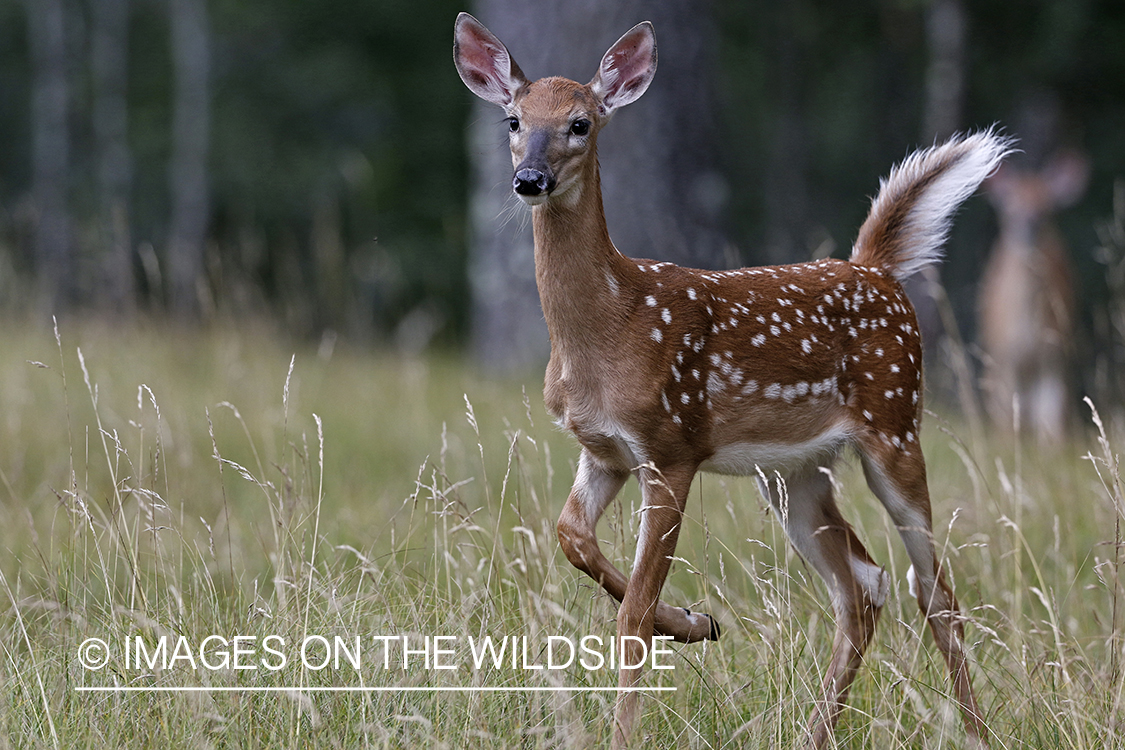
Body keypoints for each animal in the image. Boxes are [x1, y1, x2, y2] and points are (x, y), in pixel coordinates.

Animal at [452, 13, 999, 750]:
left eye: (580, 123)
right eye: (512, 119)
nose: (529, 178)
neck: (608, 326)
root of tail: (876, 268)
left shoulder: (673, 444)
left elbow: (632, 612)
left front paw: (633, 716)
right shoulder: (604, 451)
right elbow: (571, 538)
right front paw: (695, 622)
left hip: (895, 424)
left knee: (934, 592)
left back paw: (976, 731)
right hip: (795, 471)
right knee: (863, 584)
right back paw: (813, 733)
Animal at [981, 151, 1084, 445]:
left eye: (1046, 207)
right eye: (1010, 205)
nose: (1030, 219)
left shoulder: (1055, 353)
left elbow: (1051, 423)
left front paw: (1051, 449)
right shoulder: (1003, 355)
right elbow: (1007, 421)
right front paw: (1007, 445)